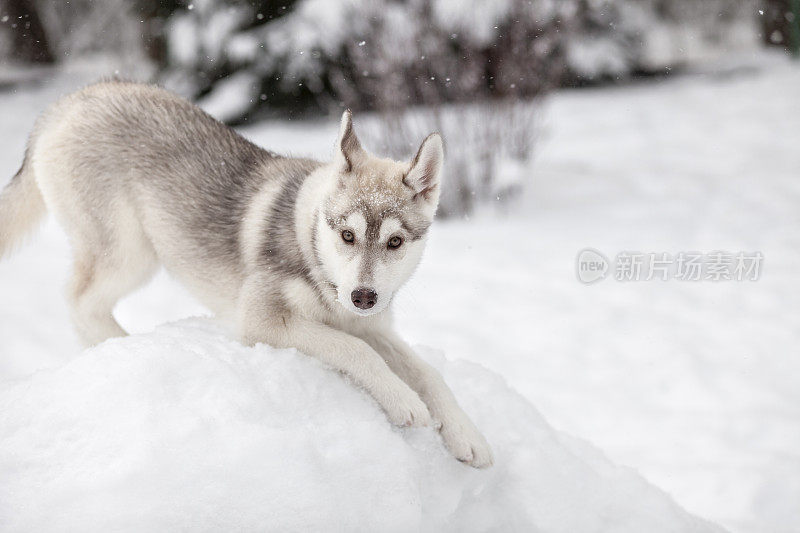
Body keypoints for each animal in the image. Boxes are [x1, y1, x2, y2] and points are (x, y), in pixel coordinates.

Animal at [0, 81, 494, 468]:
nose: (364, 297)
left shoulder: (371, 326)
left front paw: (467, 434)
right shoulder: (264, 321)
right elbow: (355, 351)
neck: (312, 249)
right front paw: (403, 400)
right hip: (129, 254)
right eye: (348, 235)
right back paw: (123, 346)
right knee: (78, 300)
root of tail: (71, 99)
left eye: (394, 242)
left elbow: (428, 372)